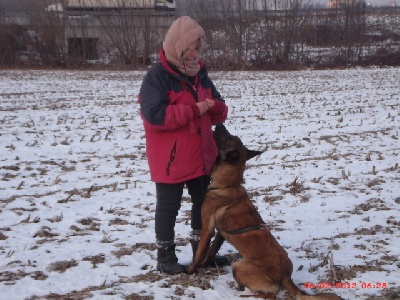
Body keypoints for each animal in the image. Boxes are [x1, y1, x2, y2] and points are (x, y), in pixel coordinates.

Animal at [186, 122, 342, 300]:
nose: (219, 123)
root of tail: (286, 276)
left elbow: (200, 252)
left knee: (270, 295)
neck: (228, 184)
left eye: (227, 137)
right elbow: (210, 252)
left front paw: (191, 270)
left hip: (238, 265)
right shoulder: (220, 234)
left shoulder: (207, 229)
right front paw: (205, 264)